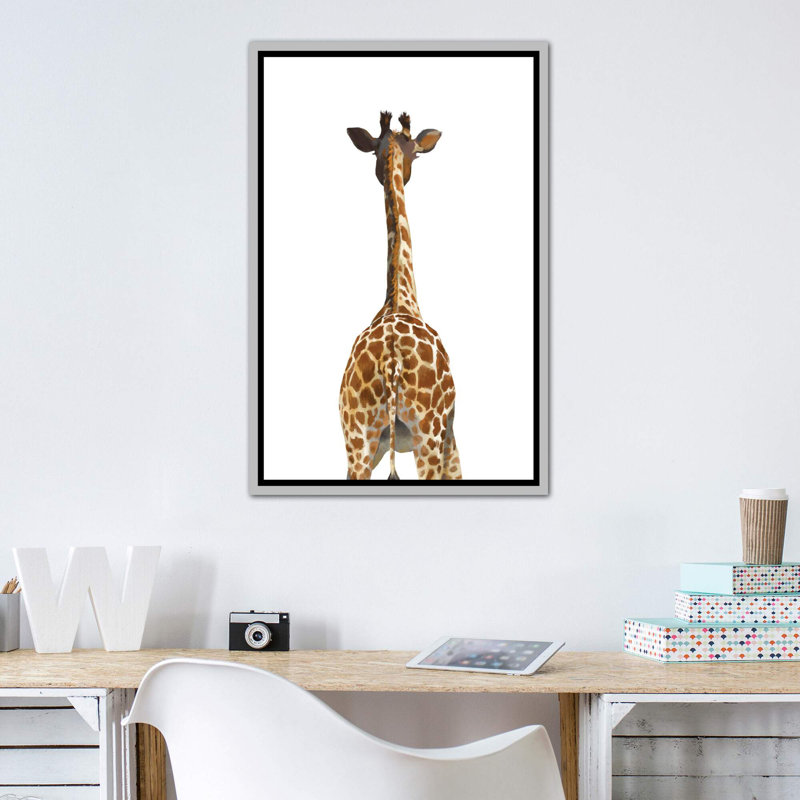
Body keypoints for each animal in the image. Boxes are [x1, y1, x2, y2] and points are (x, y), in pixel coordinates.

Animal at [339, 111, 462, 481]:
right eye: (417, 155)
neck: (401, 298)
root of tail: (391, 362)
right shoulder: (452, 437)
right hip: (428, 434)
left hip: (358, 441)